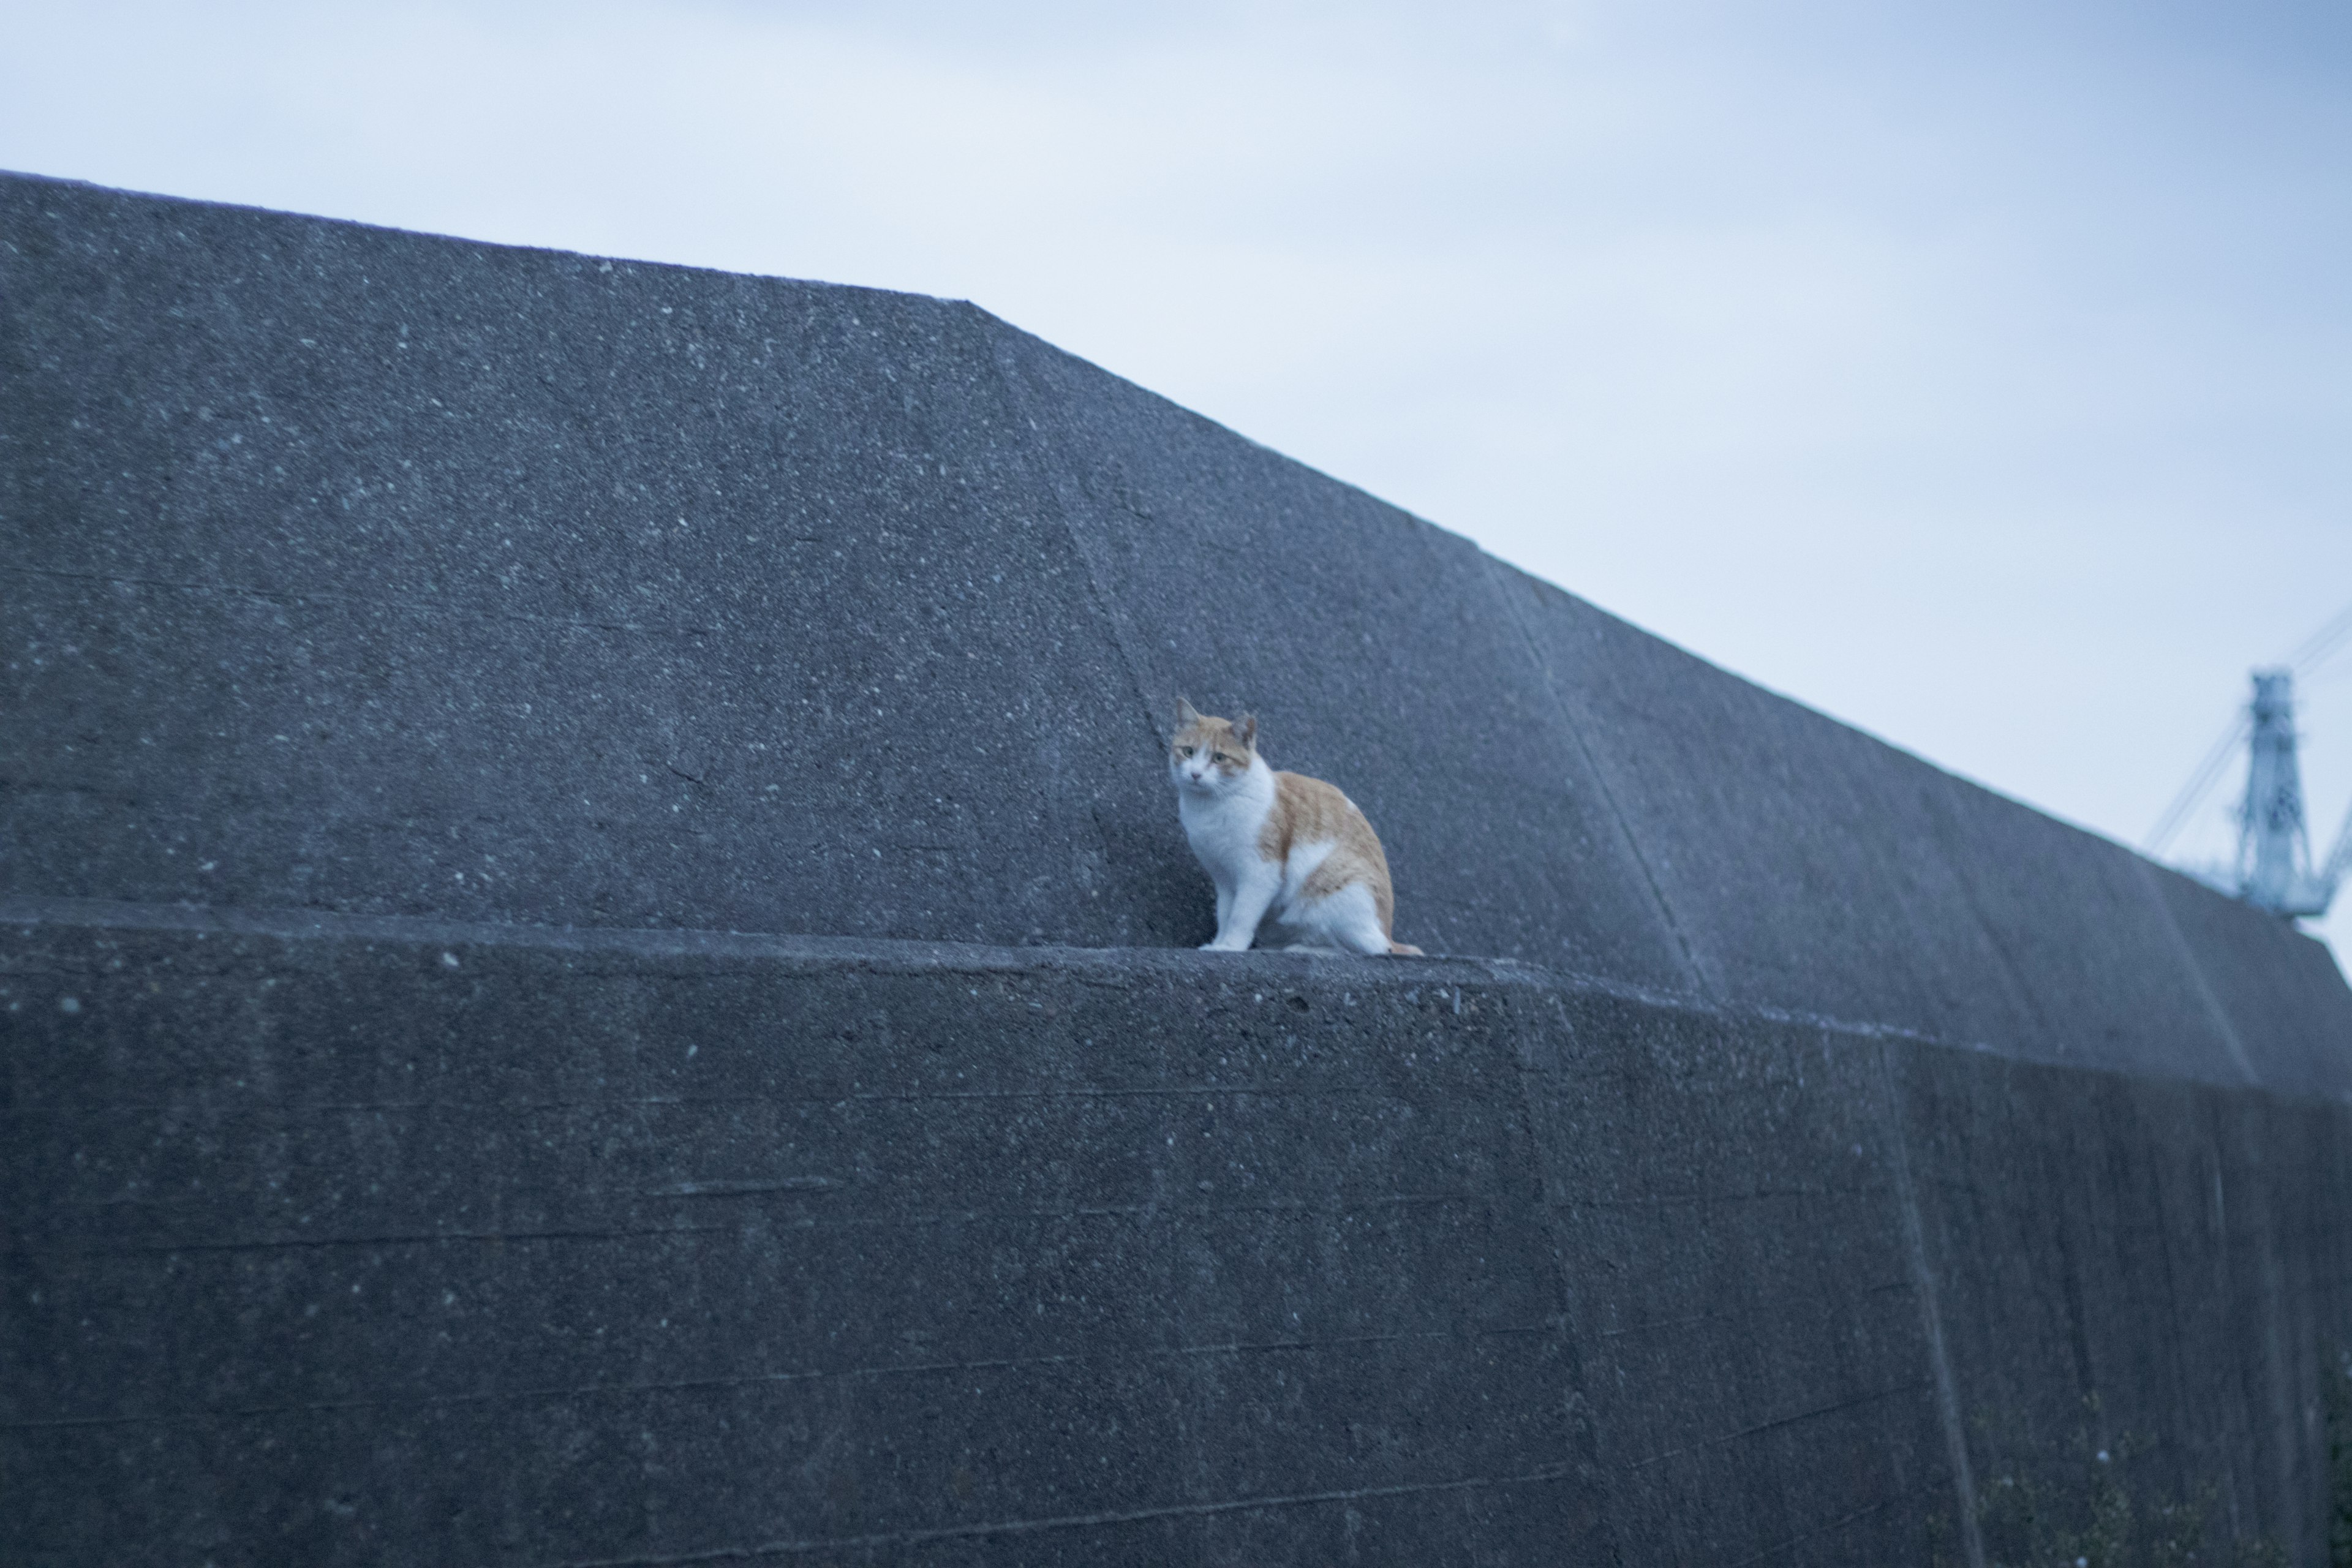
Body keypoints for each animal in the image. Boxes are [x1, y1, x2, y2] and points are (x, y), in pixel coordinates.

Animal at [1166, 700, 1420, 959]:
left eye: (1219, 758)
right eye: (1188, 752)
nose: (1195, 774)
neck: (1211, 806)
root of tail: (1388, 933)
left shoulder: (1261, 872)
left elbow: (1240, 916)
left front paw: (1231, 946)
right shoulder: (1224, 878)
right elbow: (1225, 914)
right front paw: (1218, 943)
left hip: (1337, 887)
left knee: (1364, 950)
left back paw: (1302, 949)